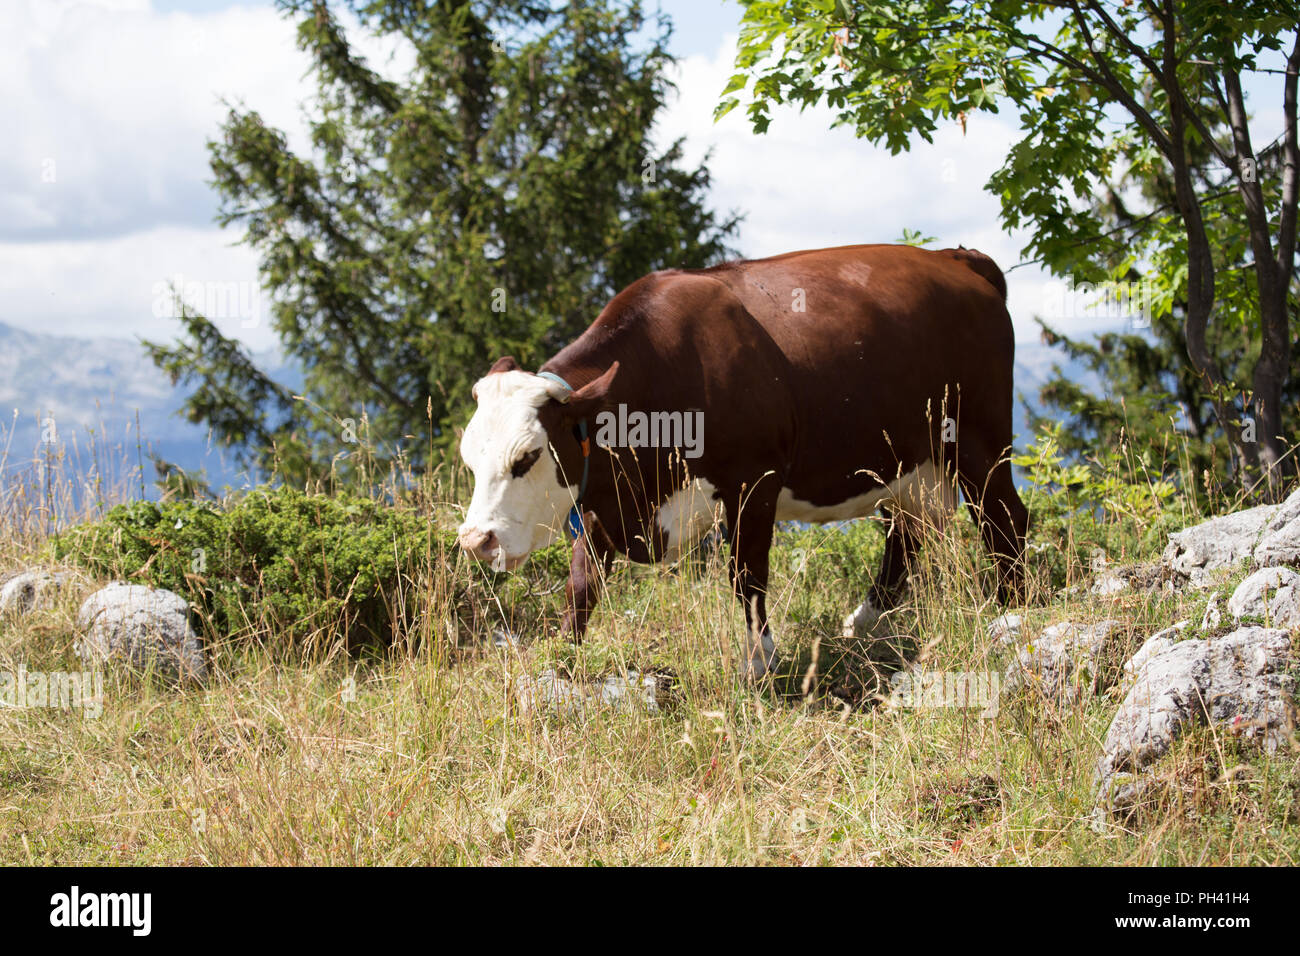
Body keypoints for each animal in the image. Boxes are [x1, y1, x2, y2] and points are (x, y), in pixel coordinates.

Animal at [457, 247, 1024, 681]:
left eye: (527, 456)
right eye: (470, 459)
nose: (475, 541)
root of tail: (956, 259)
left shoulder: (756, 478)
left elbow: (746, 573)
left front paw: (760, 661)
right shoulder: (602, 495)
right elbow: (582, 584)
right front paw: (565, 656)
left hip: (979, 439)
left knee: (1005, 520)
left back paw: (1011, 615)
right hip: (909, 465)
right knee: (907, 532)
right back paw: (864, 622)